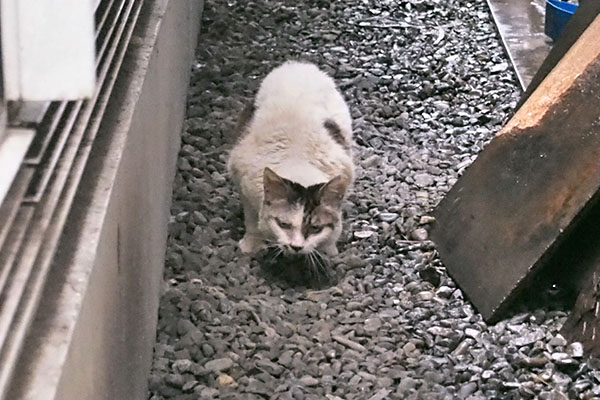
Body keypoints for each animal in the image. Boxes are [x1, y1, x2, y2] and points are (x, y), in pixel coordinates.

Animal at [227, 61, 354, 258]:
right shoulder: (243, 180)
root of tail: (298, 64)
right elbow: (251, 218)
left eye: (315, 228)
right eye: (284, 224)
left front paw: (328, 247)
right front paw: (252, 244)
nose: (296, 247)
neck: (297, 159)